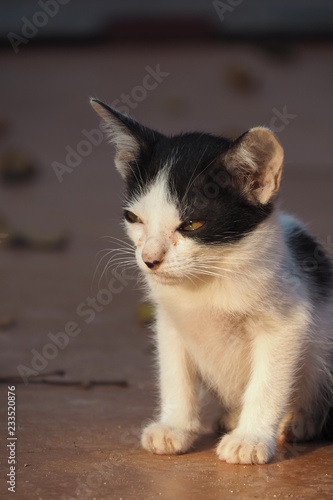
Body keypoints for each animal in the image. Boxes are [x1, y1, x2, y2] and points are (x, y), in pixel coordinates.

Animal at [90, 97, 332, 464]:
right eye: (134, 218)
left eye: (192, 224)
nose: (150, 259)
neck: (210, 276)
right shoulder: (170, 320)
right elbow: (174, 371)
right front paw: (175, 426)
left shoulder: (286, 322)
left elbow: (268, 381)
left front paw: (251, 438)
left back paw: (297, 421)